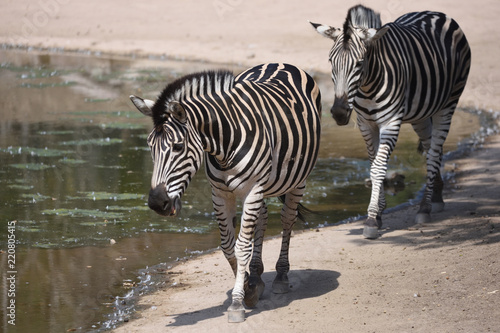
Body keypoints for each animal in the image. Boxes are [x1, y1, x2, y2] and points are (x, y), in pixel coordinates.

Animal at [131, 63, 322, 322]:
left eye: (178, 147)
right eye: (150, 147)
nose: (156, 203)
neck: (225, 143)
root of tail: (280, 63)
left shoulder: (253, 190)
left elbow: (241, 247)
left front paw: (237, 303)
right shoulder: (220, 194)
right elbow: (227, 245)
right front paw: (249, 288)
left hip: (298, 180)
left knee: (287, 218)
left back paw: (281, 276)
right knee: (262, 219)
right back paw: (257, 274)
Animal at [310, 5, 470, 239]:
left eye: (359, 63)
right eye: (331, 61)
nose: (338, 113)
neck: (367, 87)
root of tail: (436, 13)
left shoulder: (391, 124)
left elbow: (379, 168)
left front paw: (371, 219)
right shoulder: (365, 124)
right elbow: (373, 165)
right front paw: (378, 213)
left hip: (449, 103)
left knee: (433, 152)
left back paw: (424, 207)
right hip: (422, 114)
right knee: (431, 148)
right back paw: (436, 196)